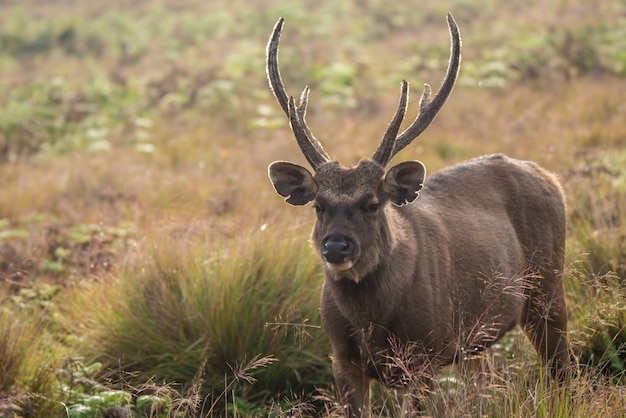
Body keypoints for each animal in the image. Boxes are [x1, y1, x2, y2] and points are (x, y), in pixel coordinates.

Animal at [266, 13, 568, 418]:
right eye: (319, 206)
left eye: (372, 204)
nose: (336, 247)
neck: (371, 322)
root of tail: (552, 178)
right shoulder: (341, 358)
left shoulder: (423, 354)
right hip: (481, 336)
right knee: (487, 378)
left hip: (548, 285)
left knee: (562, 367)